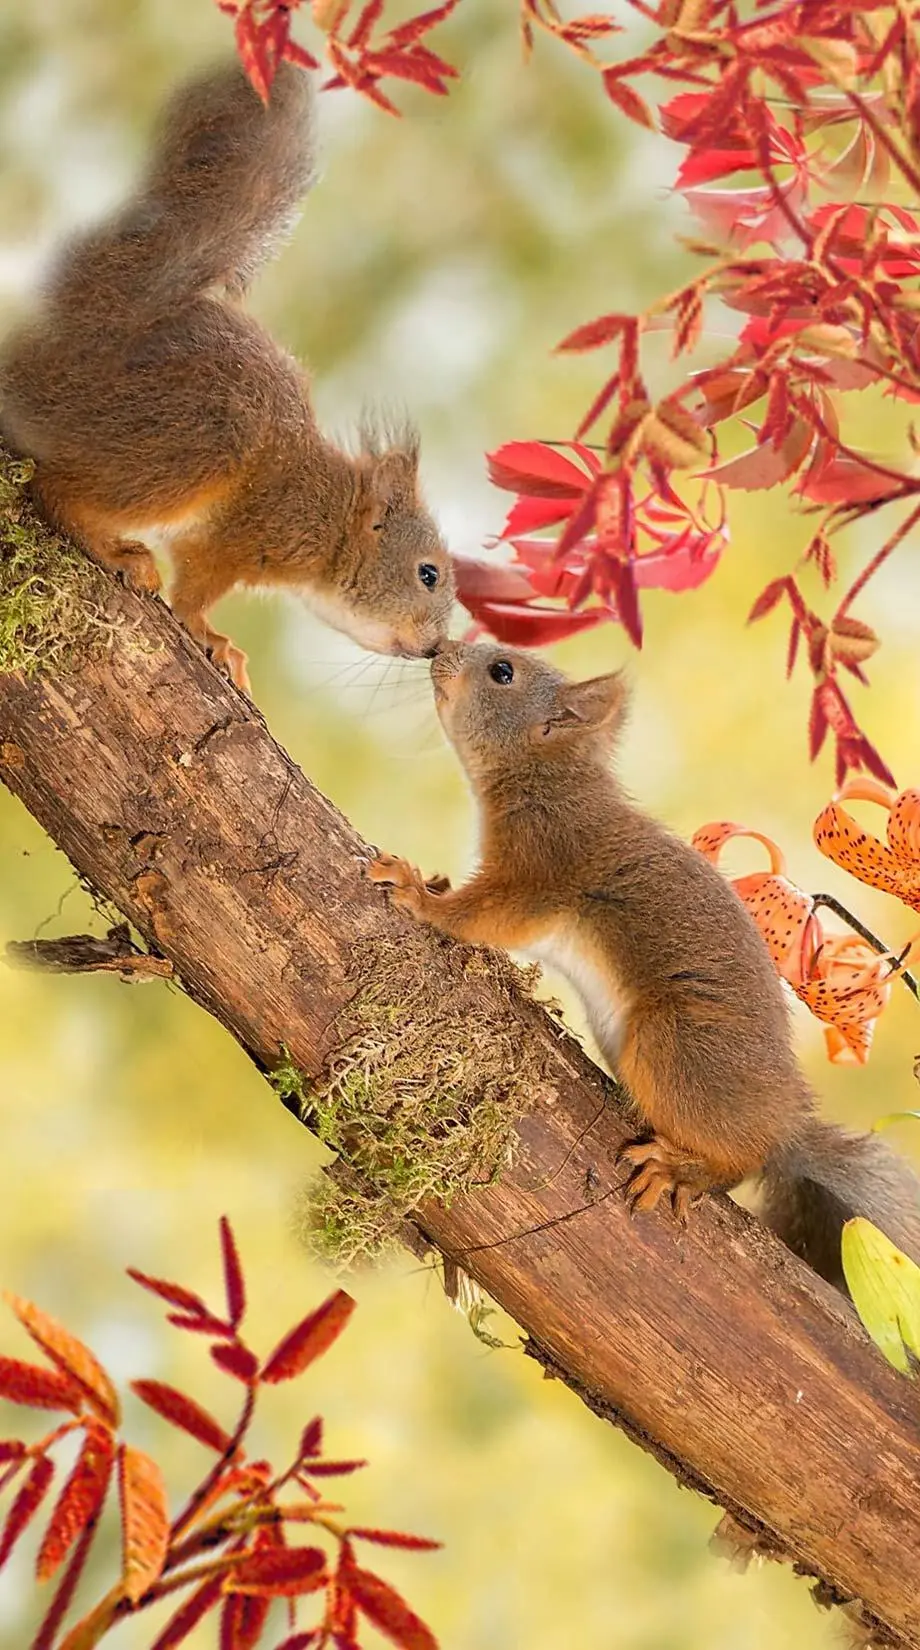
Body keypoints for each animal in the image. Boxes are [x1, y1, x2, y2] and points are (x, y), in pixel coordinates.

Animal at [0, 61, 455, 693]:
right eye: (428, 574)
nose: (434, 647)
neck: (331, 511)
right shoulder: (247, 532)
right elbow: (196, 589)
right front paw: (213, 638)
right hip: (195, 442)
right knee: (53, 489)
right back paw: (114, 550)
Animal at [369, 636, 920, 1280]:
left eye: (502, 671)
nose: (441, 648)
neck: (550, 775)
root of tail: (785, 1125)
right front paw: (429, 879)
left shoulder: (543, 866)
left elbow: (483, 916)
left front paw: (417, 895)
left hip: (672, 1045)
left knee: (742, 1158)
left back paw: (686, 1169)